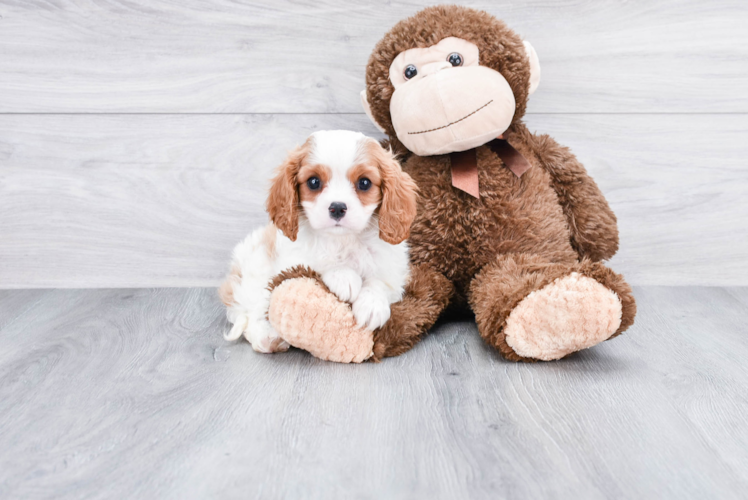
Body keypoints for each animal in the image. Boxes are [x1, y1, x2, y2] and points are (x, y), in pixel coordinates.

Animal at [219, 131, 418, 354]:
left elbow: (380, 281)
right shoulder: (290, 258)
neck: (343, 239)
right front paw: (343, 276)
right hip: (256, 267)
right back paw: (267, 337)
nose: (337, 207)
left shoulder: (392, 267)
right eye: (313, 182)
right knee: (252, 309)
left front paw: (372, 305)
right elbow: (317, 262)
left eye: (364, 183)